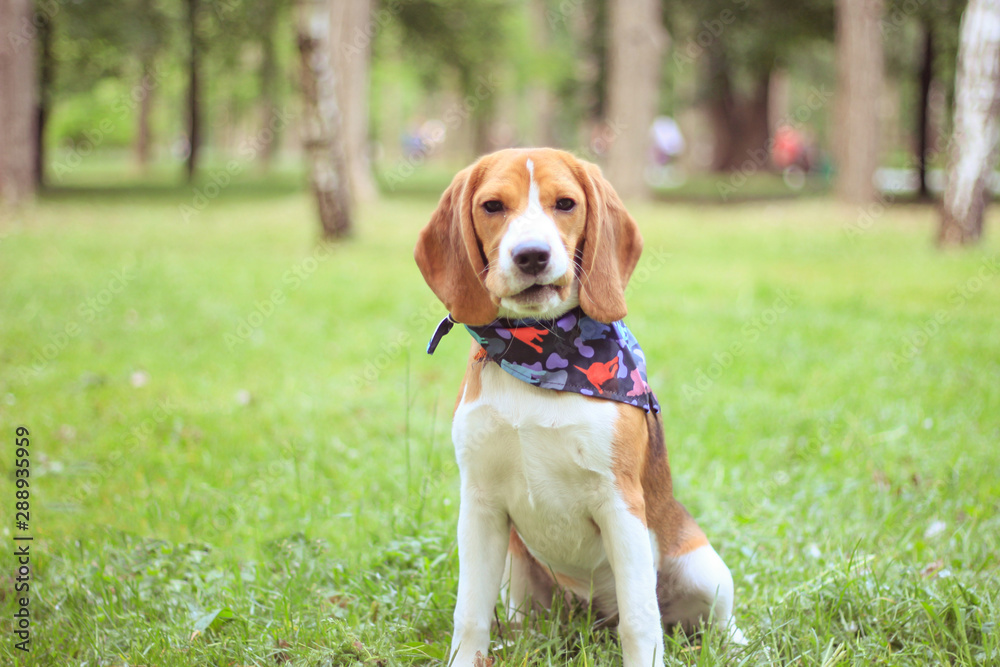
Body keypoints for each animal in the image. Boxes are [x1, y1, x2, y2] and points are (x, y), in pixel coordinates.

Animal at [414, 149, 744, 664]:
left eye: (565, 203)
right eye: (492, 206)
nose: (531, 255)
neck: (544, 351)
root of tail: (594, 617)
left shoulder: (620, 502)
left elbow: (640, 620)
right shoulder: (481, 506)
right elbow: (468, 616)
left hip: (702, 568)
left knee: (708, 623)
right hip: (516, 564)